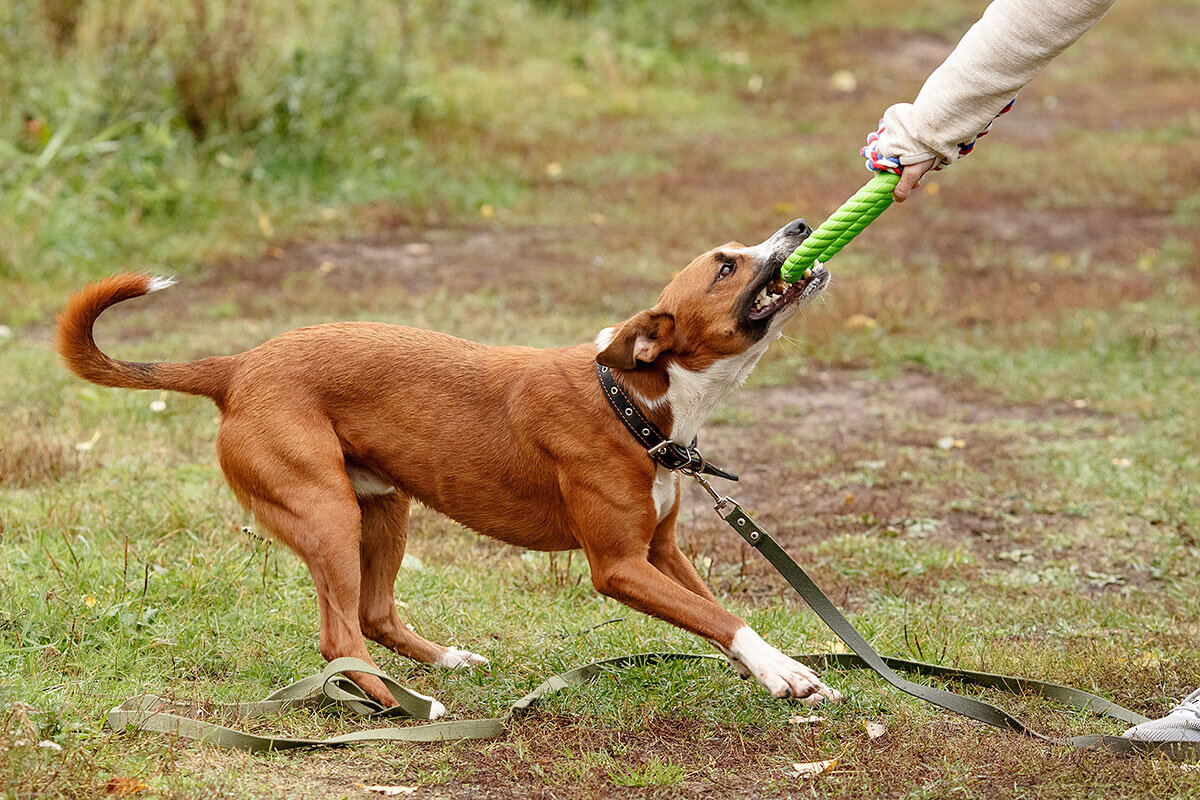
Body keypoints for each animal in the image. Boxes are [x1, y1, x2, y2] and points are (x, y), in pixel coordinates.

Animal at [58, 217, 844, 705]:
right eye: (726, 265)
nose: (801, 227)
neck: (630, 399)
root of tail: (237, 367)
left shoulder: (660, 551)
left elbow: (717, 613)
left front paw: (784, 674)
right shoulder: (620, 566)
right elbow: (722, 617)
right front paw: (781, 669)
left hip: (384, 507)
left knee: (372, 615)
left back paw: (443, 665)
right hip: (326, 512)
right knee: (339, 634)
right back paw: (404, 708)